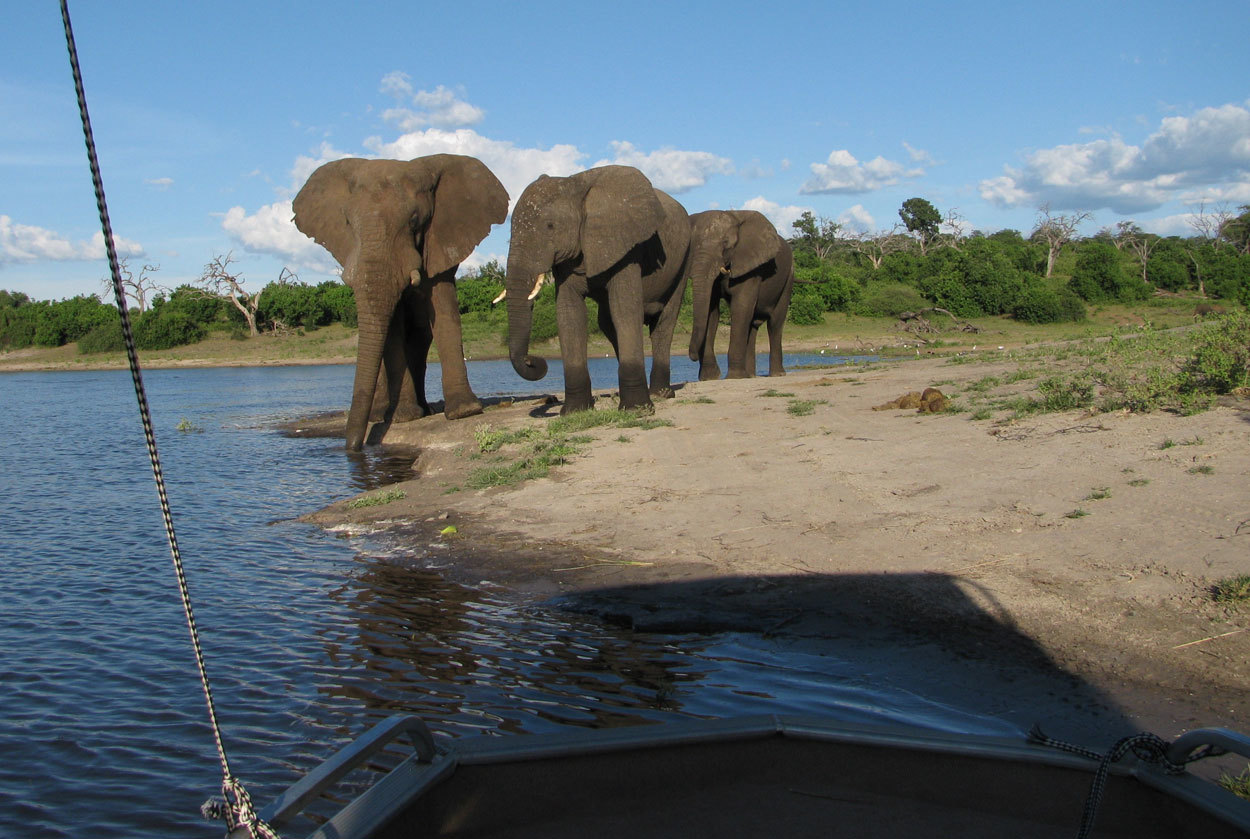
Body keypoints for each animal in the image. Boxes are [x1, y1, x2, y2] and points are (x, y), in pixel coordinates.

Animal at [292, 153, 507, 450]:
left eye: (415, 220)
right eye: (347, 223)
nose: (353, 449)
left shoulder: (439, 239)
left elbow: (444, 308)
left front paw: (465, 411)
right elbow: (392, 329)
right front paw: (404, 417)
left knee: (418, 338)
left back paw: (421, 410)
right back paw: (382, 414)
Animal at [500, 165, 695, 412]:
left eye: (550, 226)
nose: (533, 360)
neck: (575, 186)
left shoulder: (625, 243)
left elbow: (625, 308)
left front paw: (637, 409)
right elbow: (569, 315)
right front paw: (574, 411)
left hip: (685, 257)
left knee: (664, 323)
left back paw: (661, 394)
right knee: (607, 323)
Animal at [690, 210, 795, 380]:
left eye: (725, 243)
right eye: (691, 246)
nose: (692, 357)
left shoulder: (751, 267)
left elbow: (741, 307)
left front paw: (734, 377)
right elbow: (712, 313)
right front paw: (710, 378)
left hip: (788, 277)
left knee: (775, 323)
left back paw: (777, 374)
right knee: (752, 325)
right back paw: (750, 375)